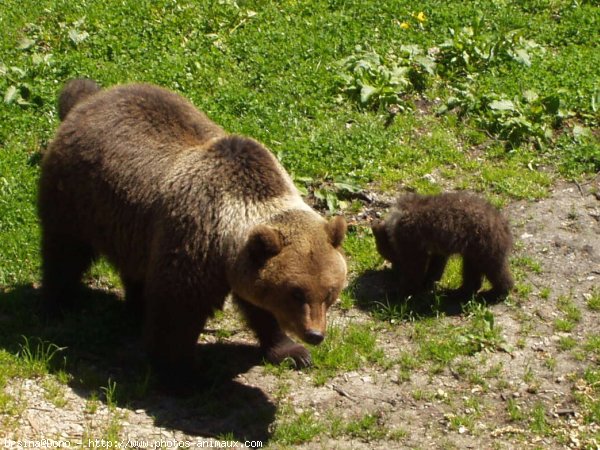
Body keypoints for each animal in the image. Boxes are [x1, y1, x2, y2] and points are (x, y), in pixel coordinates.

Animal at [41, 79, 346, 384]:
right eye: (296, 292)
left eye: (330, 291)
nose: (314, 334)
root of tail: (92, 98)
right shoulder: (195, 240)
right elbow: (176, 310)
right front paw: (185, 374)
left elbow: (258, 307)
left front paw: (291, 351)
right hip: (78, 198)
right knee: (65, 252)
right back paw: (61, 303)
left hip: (131, 227)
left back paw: (135, 308)